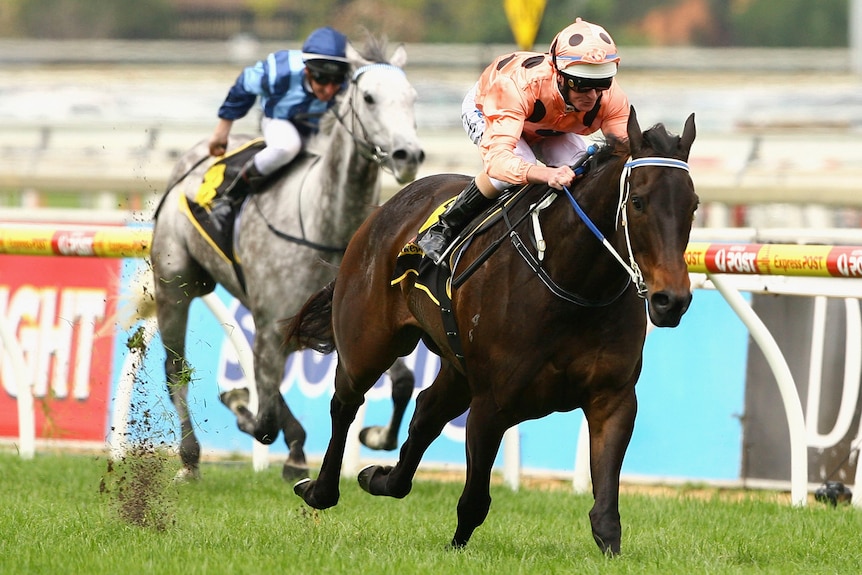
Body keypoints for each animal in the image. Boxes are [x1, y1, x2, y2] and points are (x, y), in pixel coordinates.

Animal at [153, 36, 428, 484]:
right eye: (369, 98)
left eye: (412, 97)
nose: (408, 155)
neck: (323, 223)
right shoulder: (271, 319)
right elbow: (262, 422)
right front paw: (245, 411)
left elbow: (403, 382)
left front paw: (372, 435)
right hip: (174, 285)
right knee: (177, 369)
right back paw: (191, 456)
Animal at [286, 107, 700, 552]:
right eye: (637, 202)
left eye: (693, 205)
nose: (671, 300)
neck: (573, 284)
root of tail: (385, 208)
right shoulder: (492, 404)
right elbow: (474, 500)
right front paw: (456, 547)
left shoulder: (613, 399)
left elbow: (605, 514)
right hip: (368, 344)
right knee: (345, 404)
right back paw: (318, 489)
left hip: (457, 368)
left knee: (425, 412)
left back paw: (377, 477)